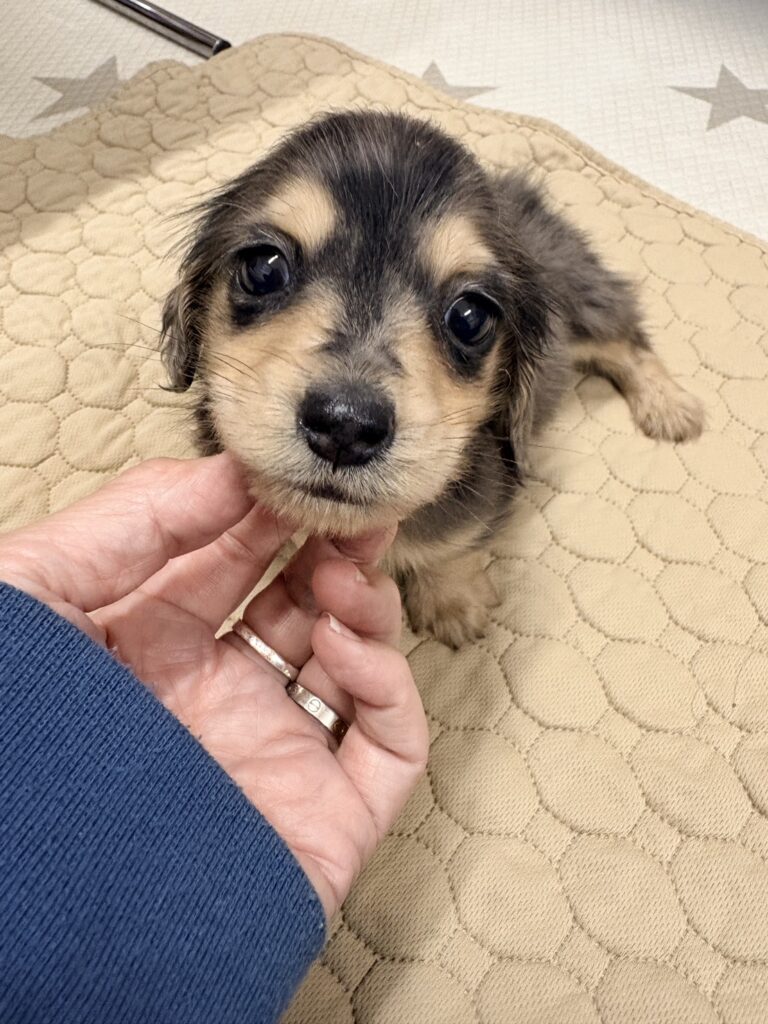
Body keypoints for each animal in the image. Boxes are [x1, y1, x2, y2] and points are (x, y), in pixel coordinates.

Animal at [160, 110, 704, 647]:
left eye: (469, 316)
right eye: (264, 268)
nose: (345, 427)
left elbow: (453, 544)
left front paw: (451, 600)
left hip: (580, 303)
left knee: (627, 338)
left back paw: (669, 406)